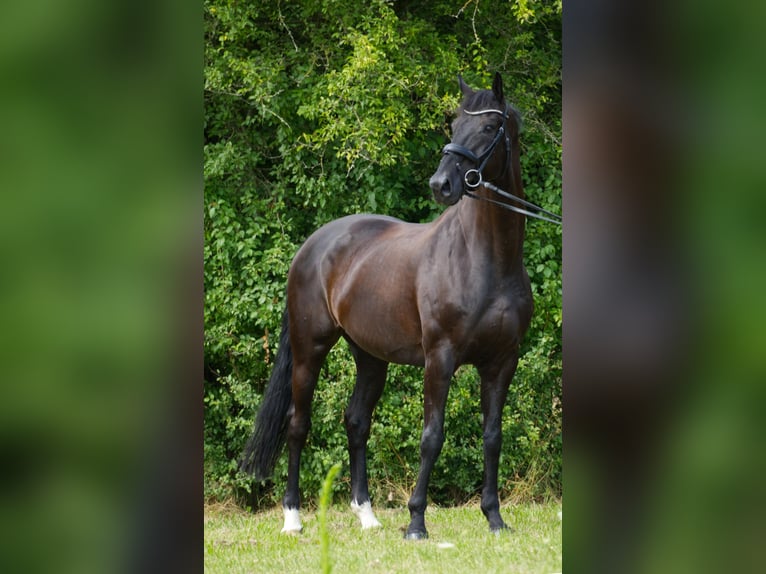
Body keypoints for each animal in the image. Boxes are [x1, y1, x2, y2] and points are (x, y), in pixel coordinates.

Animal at [242, 72, 552, 540]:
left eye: (487, 126)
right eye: (454, 123)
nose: (441, 185)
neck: (486, 261)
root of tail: (313, 246)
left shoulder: (502, 361)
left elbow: (493, 436)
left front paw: (495, 518)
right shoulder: (439, 358)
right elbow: (432, 436)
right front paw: (416, 523)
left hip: (370, 356)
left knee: (356, 422)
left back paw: (367, 515)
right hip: (309, 347)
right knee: (298, 424)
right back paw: (293, 518)